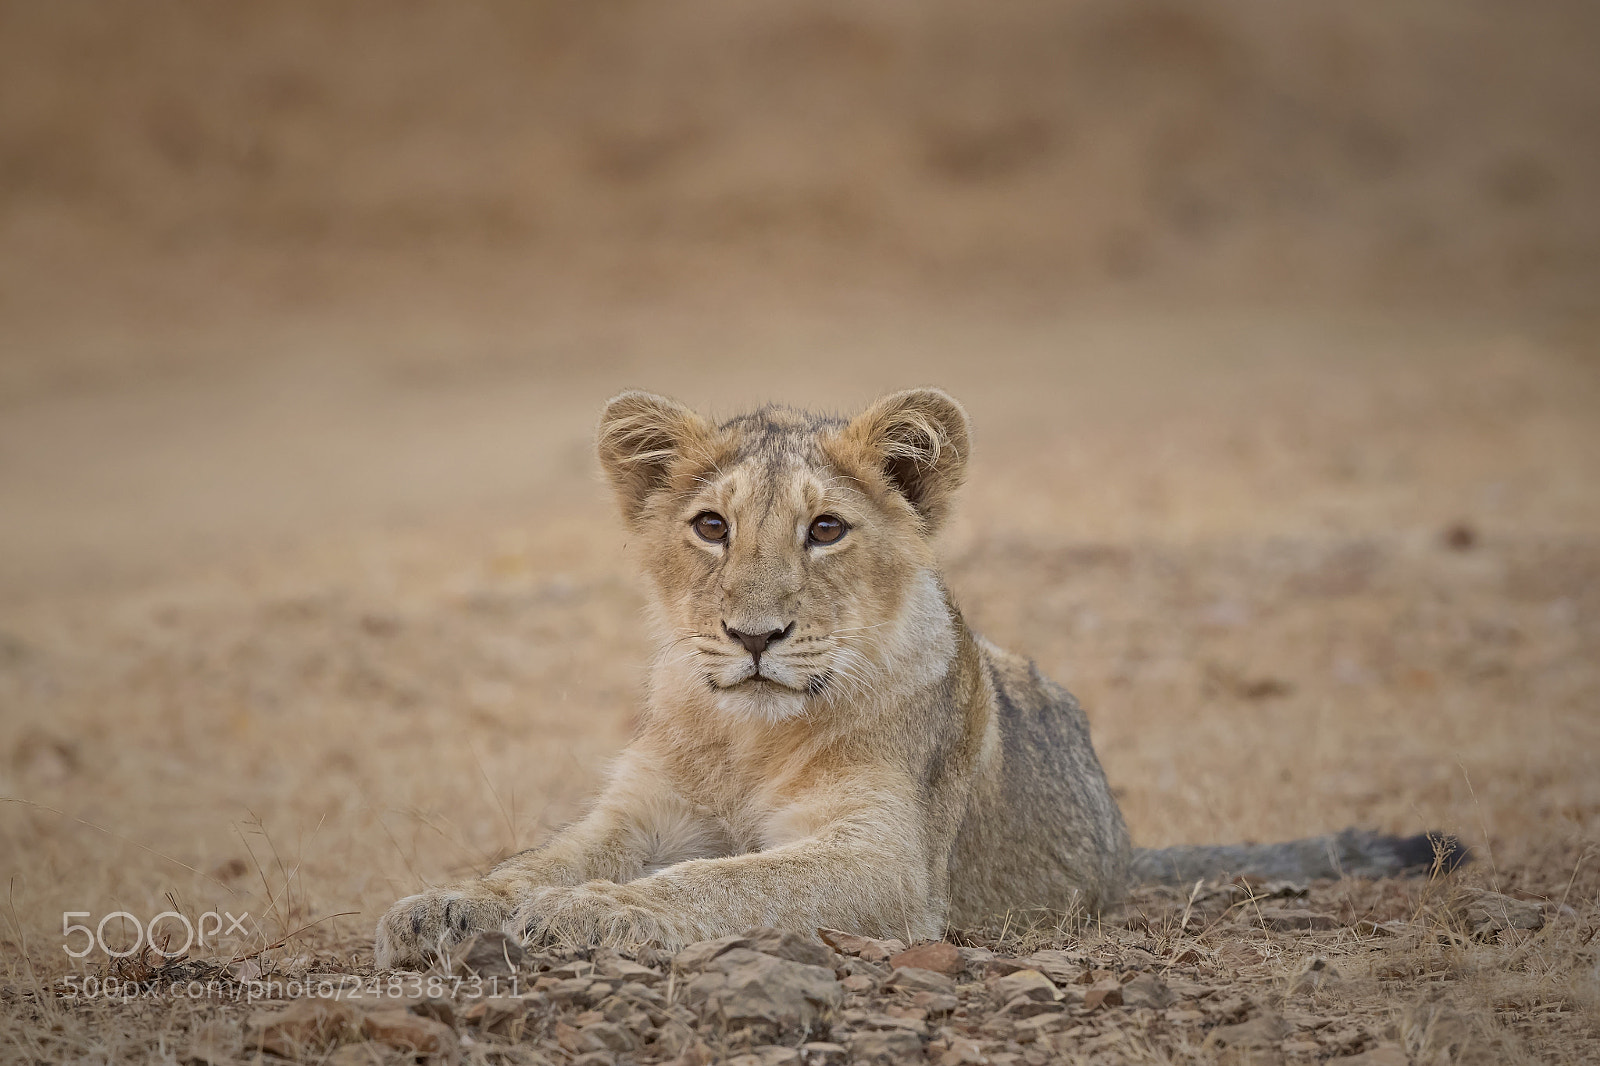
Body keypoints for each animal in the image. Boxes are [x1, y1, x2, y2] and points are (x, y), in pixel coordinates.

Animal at [374, 387, 1462, 968]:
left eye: (825, 529)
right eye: (711, 526)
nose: (755, 635)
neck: (747, 732)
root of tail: (1125, 838)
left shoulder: (886, 863)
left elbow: (723, 881)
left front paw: (589, 915)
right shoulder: (636, 812)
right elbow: (538, 856)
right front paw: (442, 904)